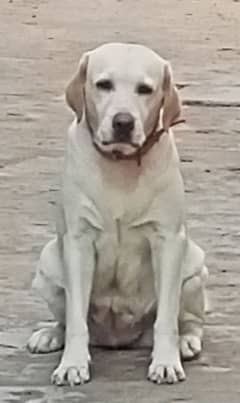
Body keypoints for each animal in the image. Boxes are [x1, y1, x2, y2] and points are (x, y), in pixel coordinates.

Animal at [27, 42, 208, 386]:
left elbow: (166, 319)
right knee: (67, 320)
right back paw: (50, 335)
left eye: (145, 89)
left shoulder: (167, 240)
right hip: (48, 265)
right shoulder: (78, 241)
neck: (120, 166)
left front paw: (166, 362)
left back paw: (186, 341)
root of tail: (119, 338)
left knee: (187, 319)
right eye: (103, 84)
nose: (123, 122)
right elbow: (76, 320)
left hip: (193, 267)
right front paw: (72, 364)